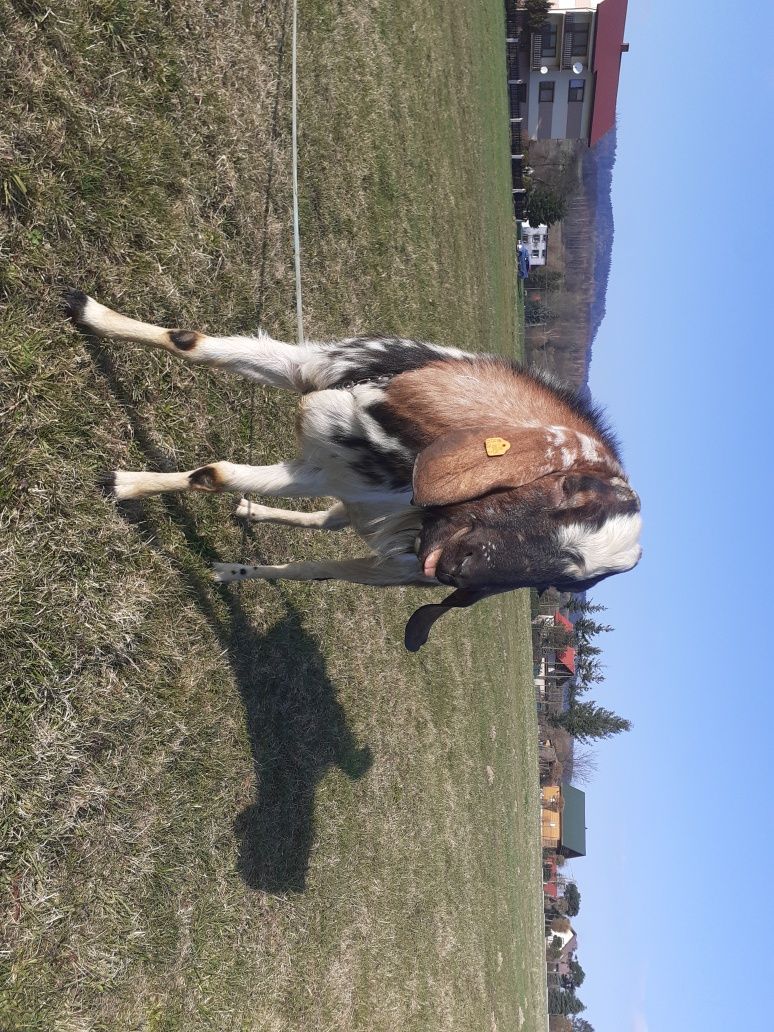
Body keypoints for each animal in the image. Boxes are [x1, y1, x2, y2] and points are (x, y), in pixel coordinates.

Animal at [63, 288, 643, 652]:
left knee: (319, 556)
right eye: (567, 490)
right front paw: (87, 312)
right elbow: (190, 344)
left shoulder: (331, 474)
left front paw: (123, 485)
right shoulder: (314, 378)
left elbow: (215, 475)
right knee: (327, 522)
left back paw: (238, 564)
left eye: (555, 582)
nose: (451, 571)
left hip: (382, 560)